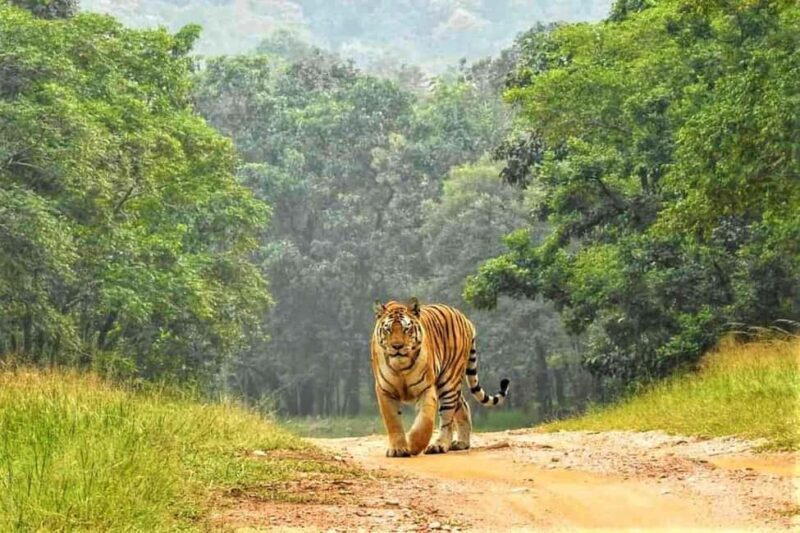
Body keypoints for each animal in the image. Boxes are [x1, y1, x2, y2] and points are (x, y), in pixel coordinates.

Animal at [371, 297, 510, 457]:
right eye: (388, 329)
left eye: (407, 329)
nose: (397, 346)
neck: (401, 367)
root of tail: (465, 319)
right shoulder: (384, 391)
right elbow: (393, 422)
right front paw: (398, 449)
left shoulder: (426, 388)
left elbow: (425, 421)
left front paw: (414, 445)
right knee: (463, 405)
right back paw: (462, 443)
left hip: (449, 381)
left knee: (447, 417)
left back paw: (439, 445)